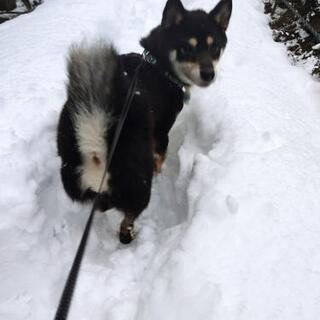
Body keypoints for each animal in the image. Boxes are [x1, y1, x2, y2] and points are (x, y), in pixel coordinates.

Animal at [57, 0, 231, 242]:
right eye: (187, 48)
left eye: (215, 48)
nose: (208, 74)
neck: (159, 65)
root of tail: (96, 141)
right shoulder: (161, 134)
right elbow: (161, 157)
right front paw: (160, 172)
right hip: (138, 185)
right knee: (127, 214)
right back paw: (128, 234)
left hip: (74, 177)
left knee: (100, 204)